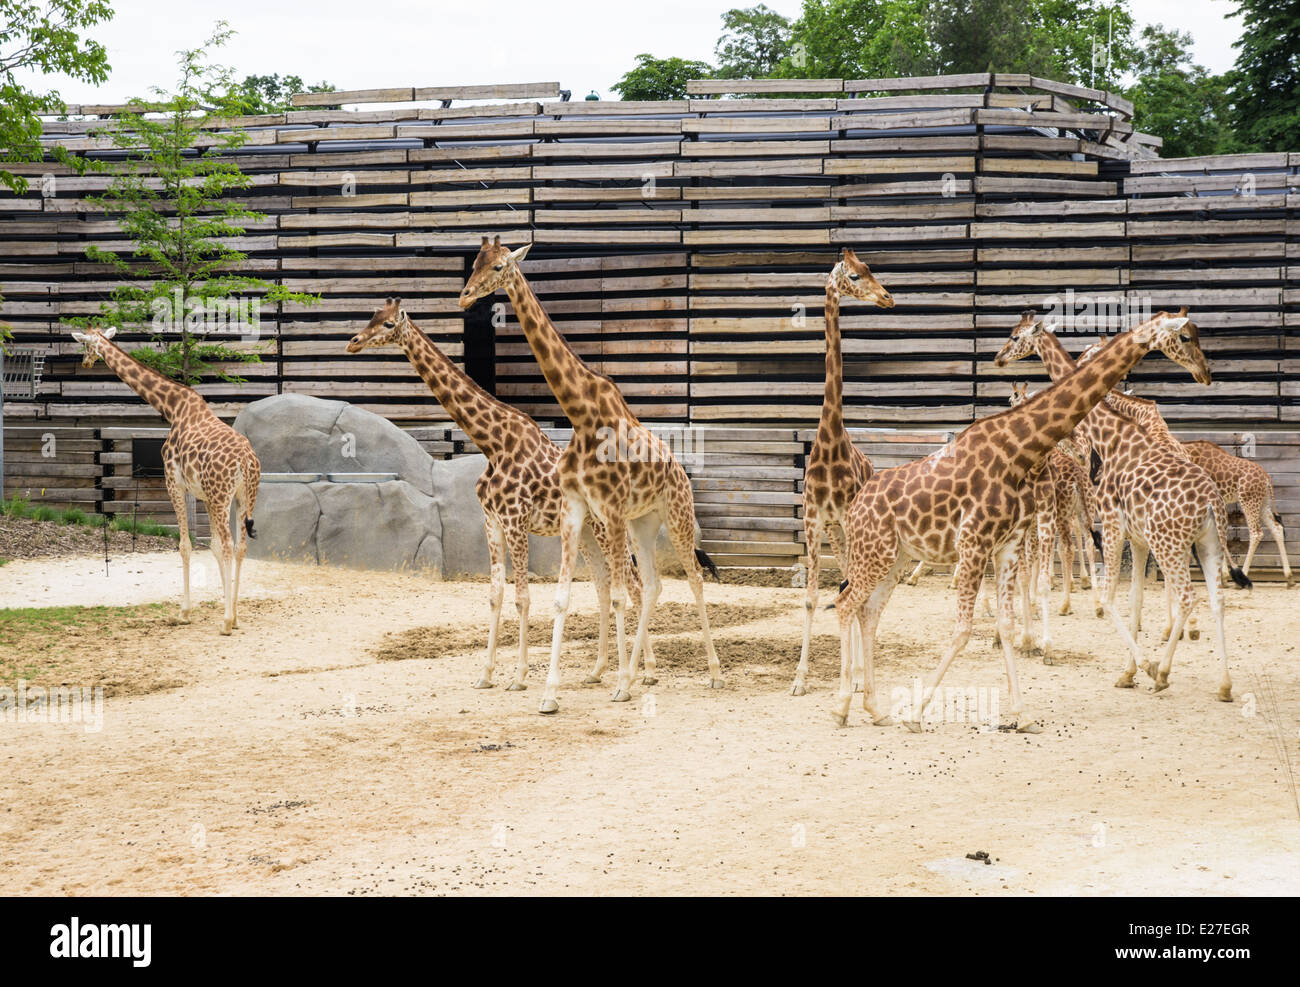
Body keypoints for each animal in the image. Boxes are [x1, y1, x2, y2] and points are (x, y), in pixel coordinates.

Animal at [69, 323, 261, 631]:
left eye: (84, 344)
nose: (85, 362)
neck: (172, 408)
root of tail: (246, 460)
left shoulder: (174, 483)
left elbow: (185, 546)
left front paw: (184, 612)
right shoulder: (204, 494)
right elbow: (212, 547)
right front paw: (228, 610)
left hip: (223, 497)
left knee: (230, 546)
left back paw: (226, 623)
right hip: (245, 495)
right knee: (240, 546)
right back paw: (234, 617)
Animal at [345, 301, 650, 697]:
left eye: (387, 324)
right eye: (370, 316)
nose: (353, 342)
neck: (492, 443)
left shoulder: (516, 520)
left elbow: (522, 597)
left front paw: (519, 676)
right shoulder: (491, 521)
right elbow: (495, 596)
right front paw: (486, 674)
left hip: (607, 528)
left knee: (636, 586)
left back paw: (643, 673)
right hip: (584, 533)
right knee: (602, 587)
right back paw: (598, 671)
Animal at [457, 239, 722, 717]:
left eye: (500, 266)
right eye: (475, 264)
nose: (465, 297)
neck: (581, 416)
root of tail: (680, 469)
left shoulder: (610, 509)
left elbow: (615, 595)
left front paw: (616, 685)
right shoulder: (576, 508)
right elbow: (563, 598)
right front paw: (549, 694)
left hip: (674, 515)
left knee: (690, 578)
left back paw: (711, 673)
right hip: (643, 524)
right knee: (653, 585)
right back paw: (636, 673)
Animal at [837, 310, 1211, 733]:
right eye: (1185, 337)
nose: (1205, 372)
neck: (1018, 451)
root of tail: (856, 504)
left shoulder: (1008, 545)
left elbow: (1005, 624)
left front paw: (1022, 713)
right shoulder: (974, 544)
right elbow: (964, 629)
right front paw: (916, 714)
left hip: (893, 557)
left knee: (868, 612)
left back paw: (873, 708)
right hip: (875, 553)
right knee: (846, 604)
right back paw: (842, 706)